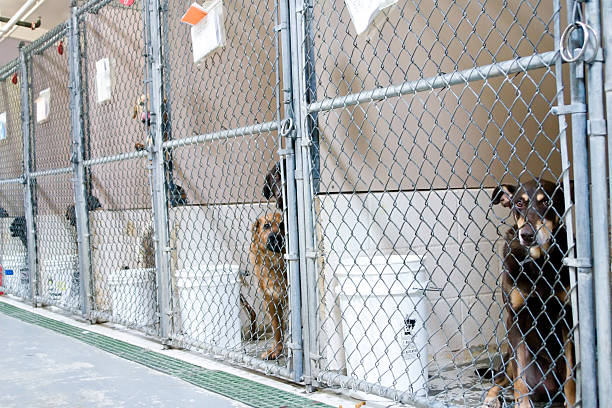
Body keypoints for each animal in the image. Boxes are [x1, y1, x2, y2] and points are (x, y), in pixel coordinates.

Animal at [249, 212, 286, 358]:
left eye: (282, 225)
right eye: (266, 225)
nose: (275, 238)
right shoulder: (270, 299)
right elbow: (277, 328)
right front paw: (276, 350)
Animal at [482, 181, 572, 408]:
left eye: (547, 202)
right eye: (519, 203)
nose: (527, 235)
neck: (538, 262)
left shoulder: (567, 316)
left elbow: (571, 377)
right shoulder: (515, 318)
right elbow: (520, 377)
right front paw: (522, 404)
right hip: (507, 358)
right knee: (502, 377)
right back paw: (492, 397)